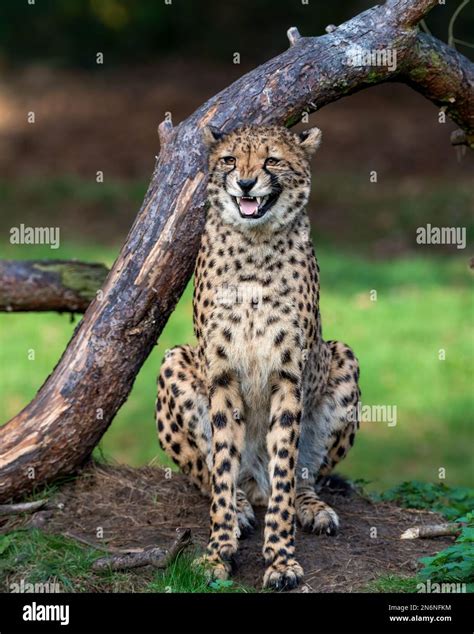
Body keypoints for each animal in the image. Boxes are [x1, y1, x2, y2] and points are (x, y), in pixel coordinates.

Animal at [156, 122, 360, 588]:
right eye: (231, 159)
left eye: (272, 160)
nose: (246, 183)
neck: (254, 245)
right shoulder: (222, 374)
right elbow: (222, 462)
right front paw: (218, 552)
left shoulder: (289, 376)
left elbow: (286, 468)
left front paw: (282, 560)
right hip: (174, 361)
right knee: (212, 475)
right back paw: (239, 507)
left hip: (343, 358)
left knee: (303, 476)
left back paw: (311, 507)